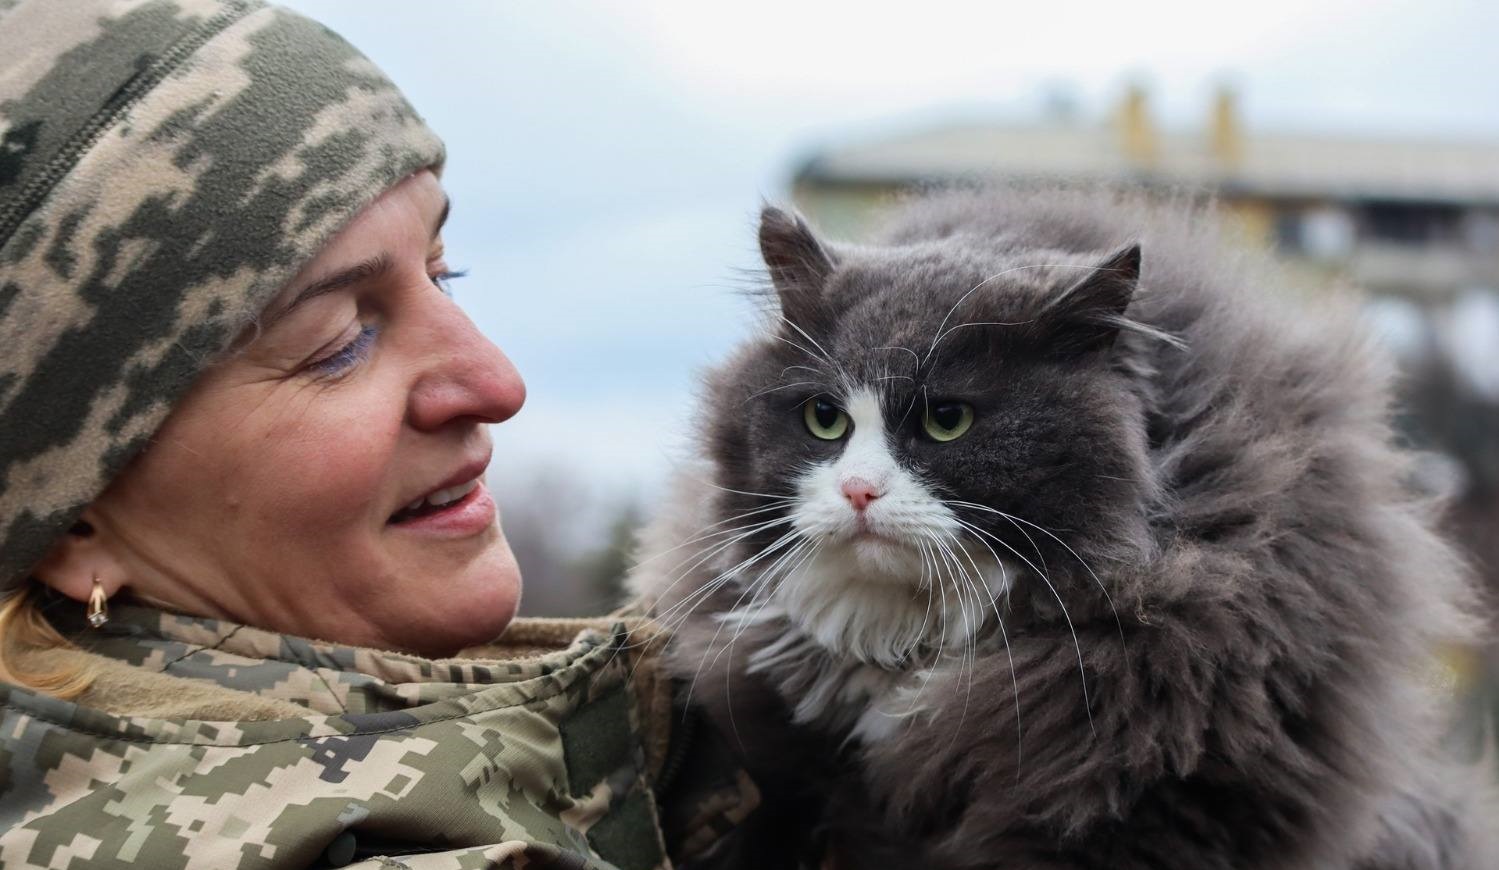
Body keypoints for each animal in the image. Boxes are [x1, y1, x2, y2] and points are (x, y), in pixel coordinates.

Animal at [626, 186, 1493, 870]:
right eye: (823, 419)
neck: (918, 649)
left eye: (946, 421)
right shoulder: (783, 770)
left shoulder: (1142, 807)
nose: (859, 490)